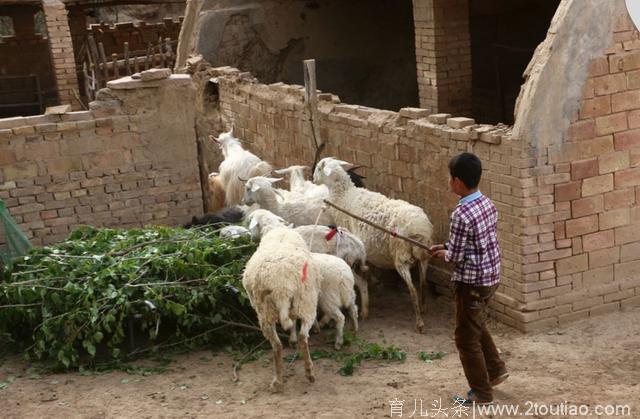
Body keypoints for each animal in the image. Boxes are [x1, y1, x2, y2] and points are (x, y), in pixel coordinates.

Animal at [241, 220, 318, 394]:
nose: (251, 239)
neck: (276, 228)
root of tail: (281, 287)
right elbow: (294, 323)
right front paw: (293, 338)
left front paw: (292, 338)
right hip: (305, 303)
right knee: (302, 337)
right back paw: (308, 372)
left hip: (267, 312)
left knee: (277, 346)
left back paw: (278, 381)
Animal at [312, 158, 432, 334]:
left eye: (320, 167)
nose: (313, 179)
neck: (344, 196)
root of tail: (419, 230)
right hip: (424, 257)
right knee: (423, 283)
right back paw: (424, 308)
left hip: (401, 258)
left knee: (413, 290)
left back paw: (420, 323)